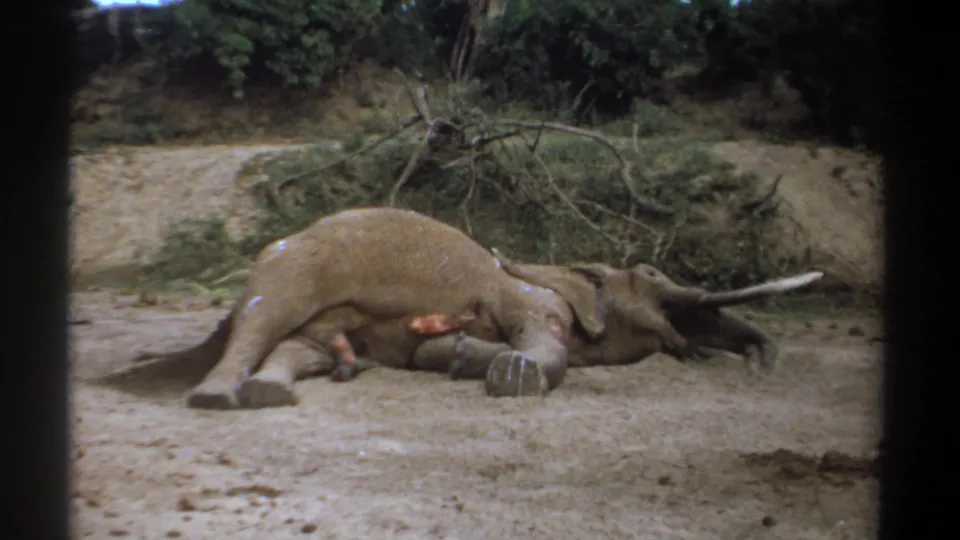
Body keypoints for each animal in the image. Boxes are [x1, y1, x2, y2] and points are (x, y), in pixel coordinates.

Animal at [145, 207, 822, 410]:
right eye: (653, 276)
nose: (760, 368)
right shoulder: (532, 296)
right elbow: (545, 346)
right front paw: (506, 374)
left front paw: (454, 354)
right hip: (292, 267)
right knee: (263, 320)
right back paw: (216, 396)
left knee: (301, 345)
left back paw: (281, 390)